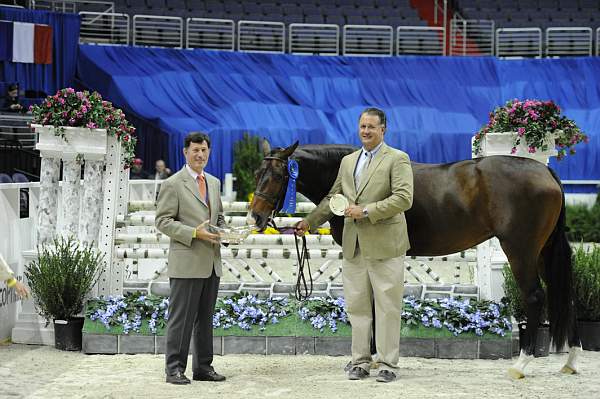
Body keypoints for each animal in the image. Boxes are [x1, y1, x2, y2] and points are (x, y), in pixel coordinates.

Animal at [248, 141, 580, 382]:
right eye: (256, 174)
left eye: (279, 176)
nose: (255, 218)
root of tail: (545, 173)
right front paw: (369, 360)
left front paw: (374, 360)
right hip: (543, 251)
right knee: (564, 294)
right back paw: (571, 361)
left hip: (521, 250)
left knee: (534, 297)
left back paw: (520, 365)